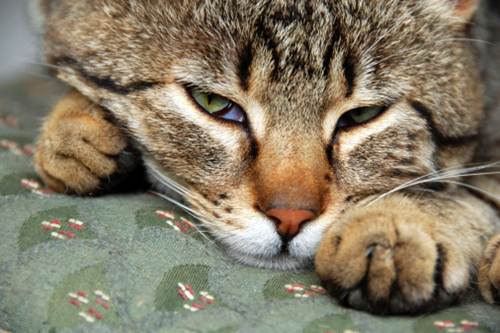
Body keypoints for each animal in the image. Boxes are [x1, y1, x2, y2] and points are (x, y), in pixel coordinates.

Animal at [34, 0, 500, 314]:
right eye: (213, 103)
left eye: (361, 116)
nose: (290, 218)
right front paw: (73, 127)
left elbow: (476, 187)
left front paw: (399, 225)